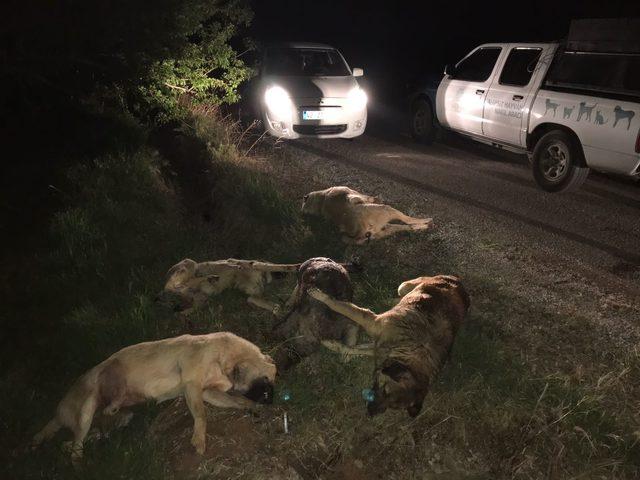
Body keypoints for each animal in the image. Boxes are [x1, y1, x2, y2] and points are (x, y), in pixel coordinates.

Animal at [31, 332, 276, 460]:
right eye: (265, 382)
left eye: (274, 379)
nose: (272, 400)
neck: (222, 355)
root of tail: (58, 415)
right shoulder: (192, 388)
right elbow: (202, 416)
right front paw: (199, 440)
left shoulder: (207, 393)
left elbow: (237, 401)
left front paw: (252, 408)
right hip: (90, 404)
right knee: (77, 448)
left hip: (116, 421)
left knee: (73, 443)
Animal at [159, 258, 302, 316]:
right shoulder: (255, 265)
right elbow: (284, 266)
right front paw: (297, 266)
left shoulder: (252, 296)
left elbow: (276, 305)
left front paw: (284, 308)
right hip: (190, 263)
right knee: (179, 284)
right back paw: (212, 276)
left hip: (201, 297)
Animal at [302, 185, 436, 244]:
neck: (321, 200)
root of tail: (359, 231)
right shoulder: (352, 194)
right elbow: (365, 197)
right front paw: (374, 198)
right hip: (387, 210)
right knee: (408, 221)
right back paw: (427, 221)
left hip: (385, 228)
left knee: (408, 226)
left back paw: (424, 226)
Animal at [308, 276, 468, 418]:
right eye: (385, 390)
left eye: (393, 407)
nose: (370, 414)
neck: (413, 348)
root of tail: (458, 281)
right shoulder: (371, 321)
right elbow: (337, 305)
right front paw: (320, 295)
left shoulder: (379, 347)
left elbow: (354, 348)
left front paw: (337, 347)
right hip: (404, 286)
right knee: (400, 293)